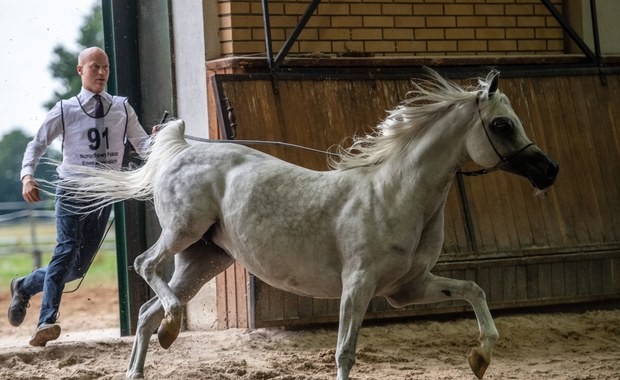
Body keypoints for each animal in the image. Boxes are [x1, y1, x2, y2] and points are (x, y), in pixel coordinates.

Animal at [60, 70, 560, 378]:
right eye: (502, 125)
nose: (549, 170)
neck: (398, 194)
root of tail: (182, 149)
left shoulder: (407, 289)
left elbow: (474, 291)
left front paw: (480, 357)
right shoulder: (357, 285)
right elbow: (344, 351)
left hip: (205, 258)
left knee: (149, 312)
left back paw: (147, 354)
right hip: (183, 233)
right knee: (146, 267)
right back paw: (170, 327)